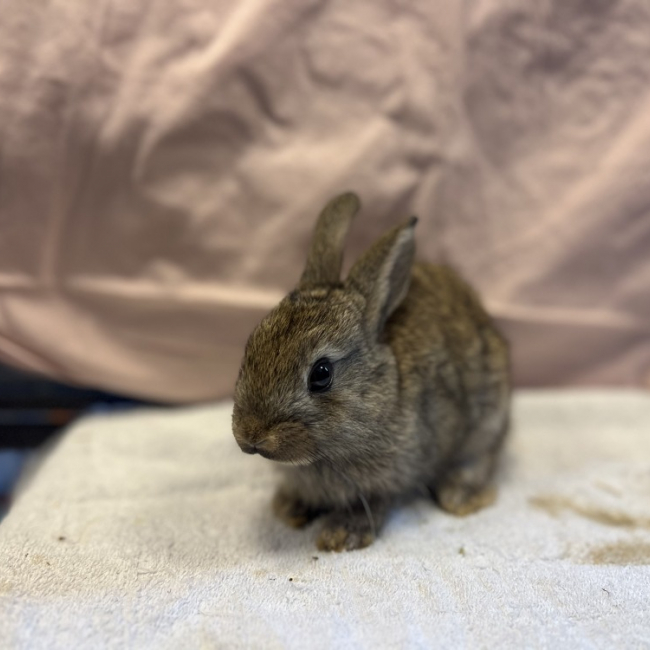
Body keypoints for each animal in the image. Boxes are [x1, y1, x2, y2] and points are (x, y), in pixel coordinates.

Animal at [232, 192, 510, 552]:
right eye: (251, 345)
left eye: (321, 374)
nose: (250, 437)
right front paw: (289, 509)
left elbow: (375, 501)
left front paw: (341, 535)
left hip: (488, 418)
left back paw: (460, 497)